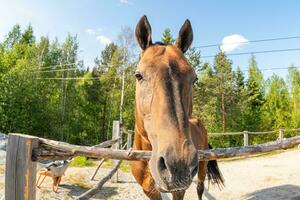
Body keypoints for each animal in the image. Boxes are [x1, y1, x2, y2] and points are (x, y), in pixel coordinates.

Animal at [131, 16, 223, 200]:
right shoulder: (150, 191)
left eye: (194, 79)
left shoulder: (178, 190)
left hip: (202, 166)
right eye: (139, 75)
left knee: (200, 188)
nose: (179, 164)